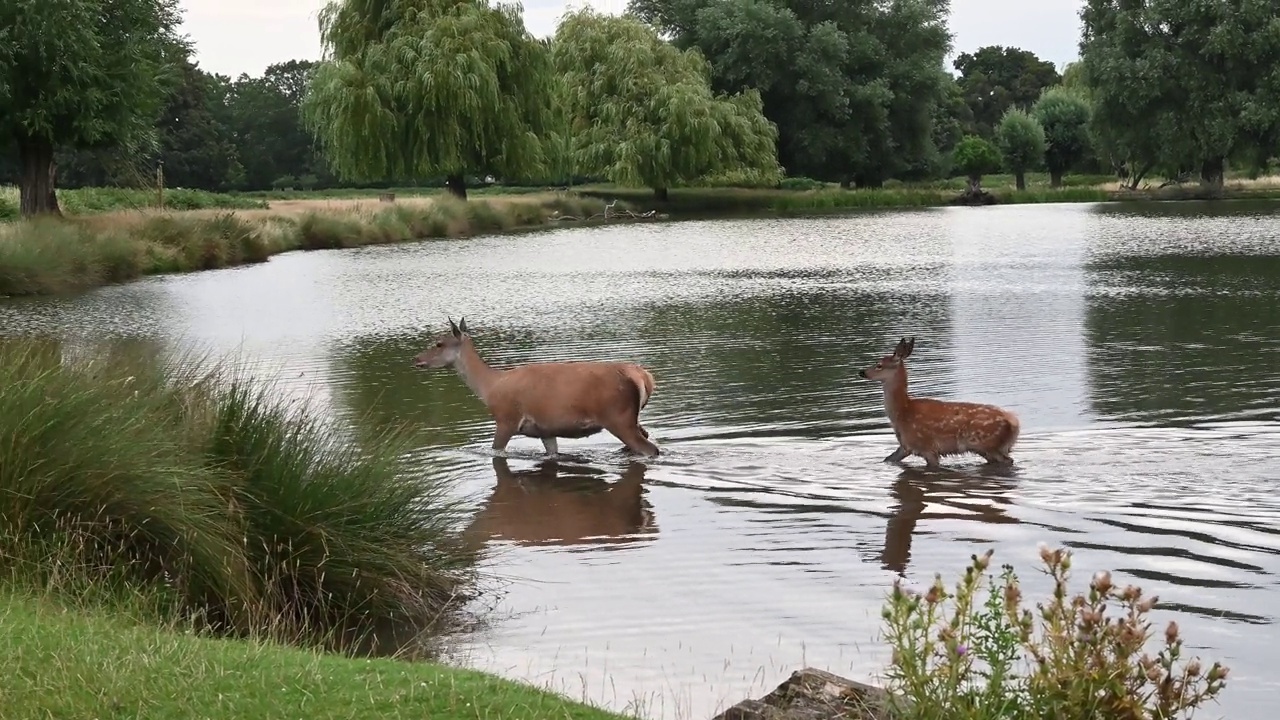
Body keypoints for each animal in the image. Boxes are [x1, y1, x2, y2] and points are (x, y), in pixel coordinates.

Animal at [414, 317, 660, 453]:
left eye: (439, 343)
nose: (417, 359)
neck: (490, 388)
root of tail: (643, 376)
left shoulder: (506, 419)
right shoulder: (546, 429)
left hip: (617, 417)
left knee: (650, 449)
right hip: (629, 417)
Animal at [860, 338, 1018, 471]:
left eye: (879, 365)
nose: (862, 372)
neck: (903, 412)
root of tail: (1014, 423)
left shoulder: (926, 447)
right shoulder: (906, 446)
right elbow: (887, 459)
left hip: (987, 445)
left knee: (1008, 461)